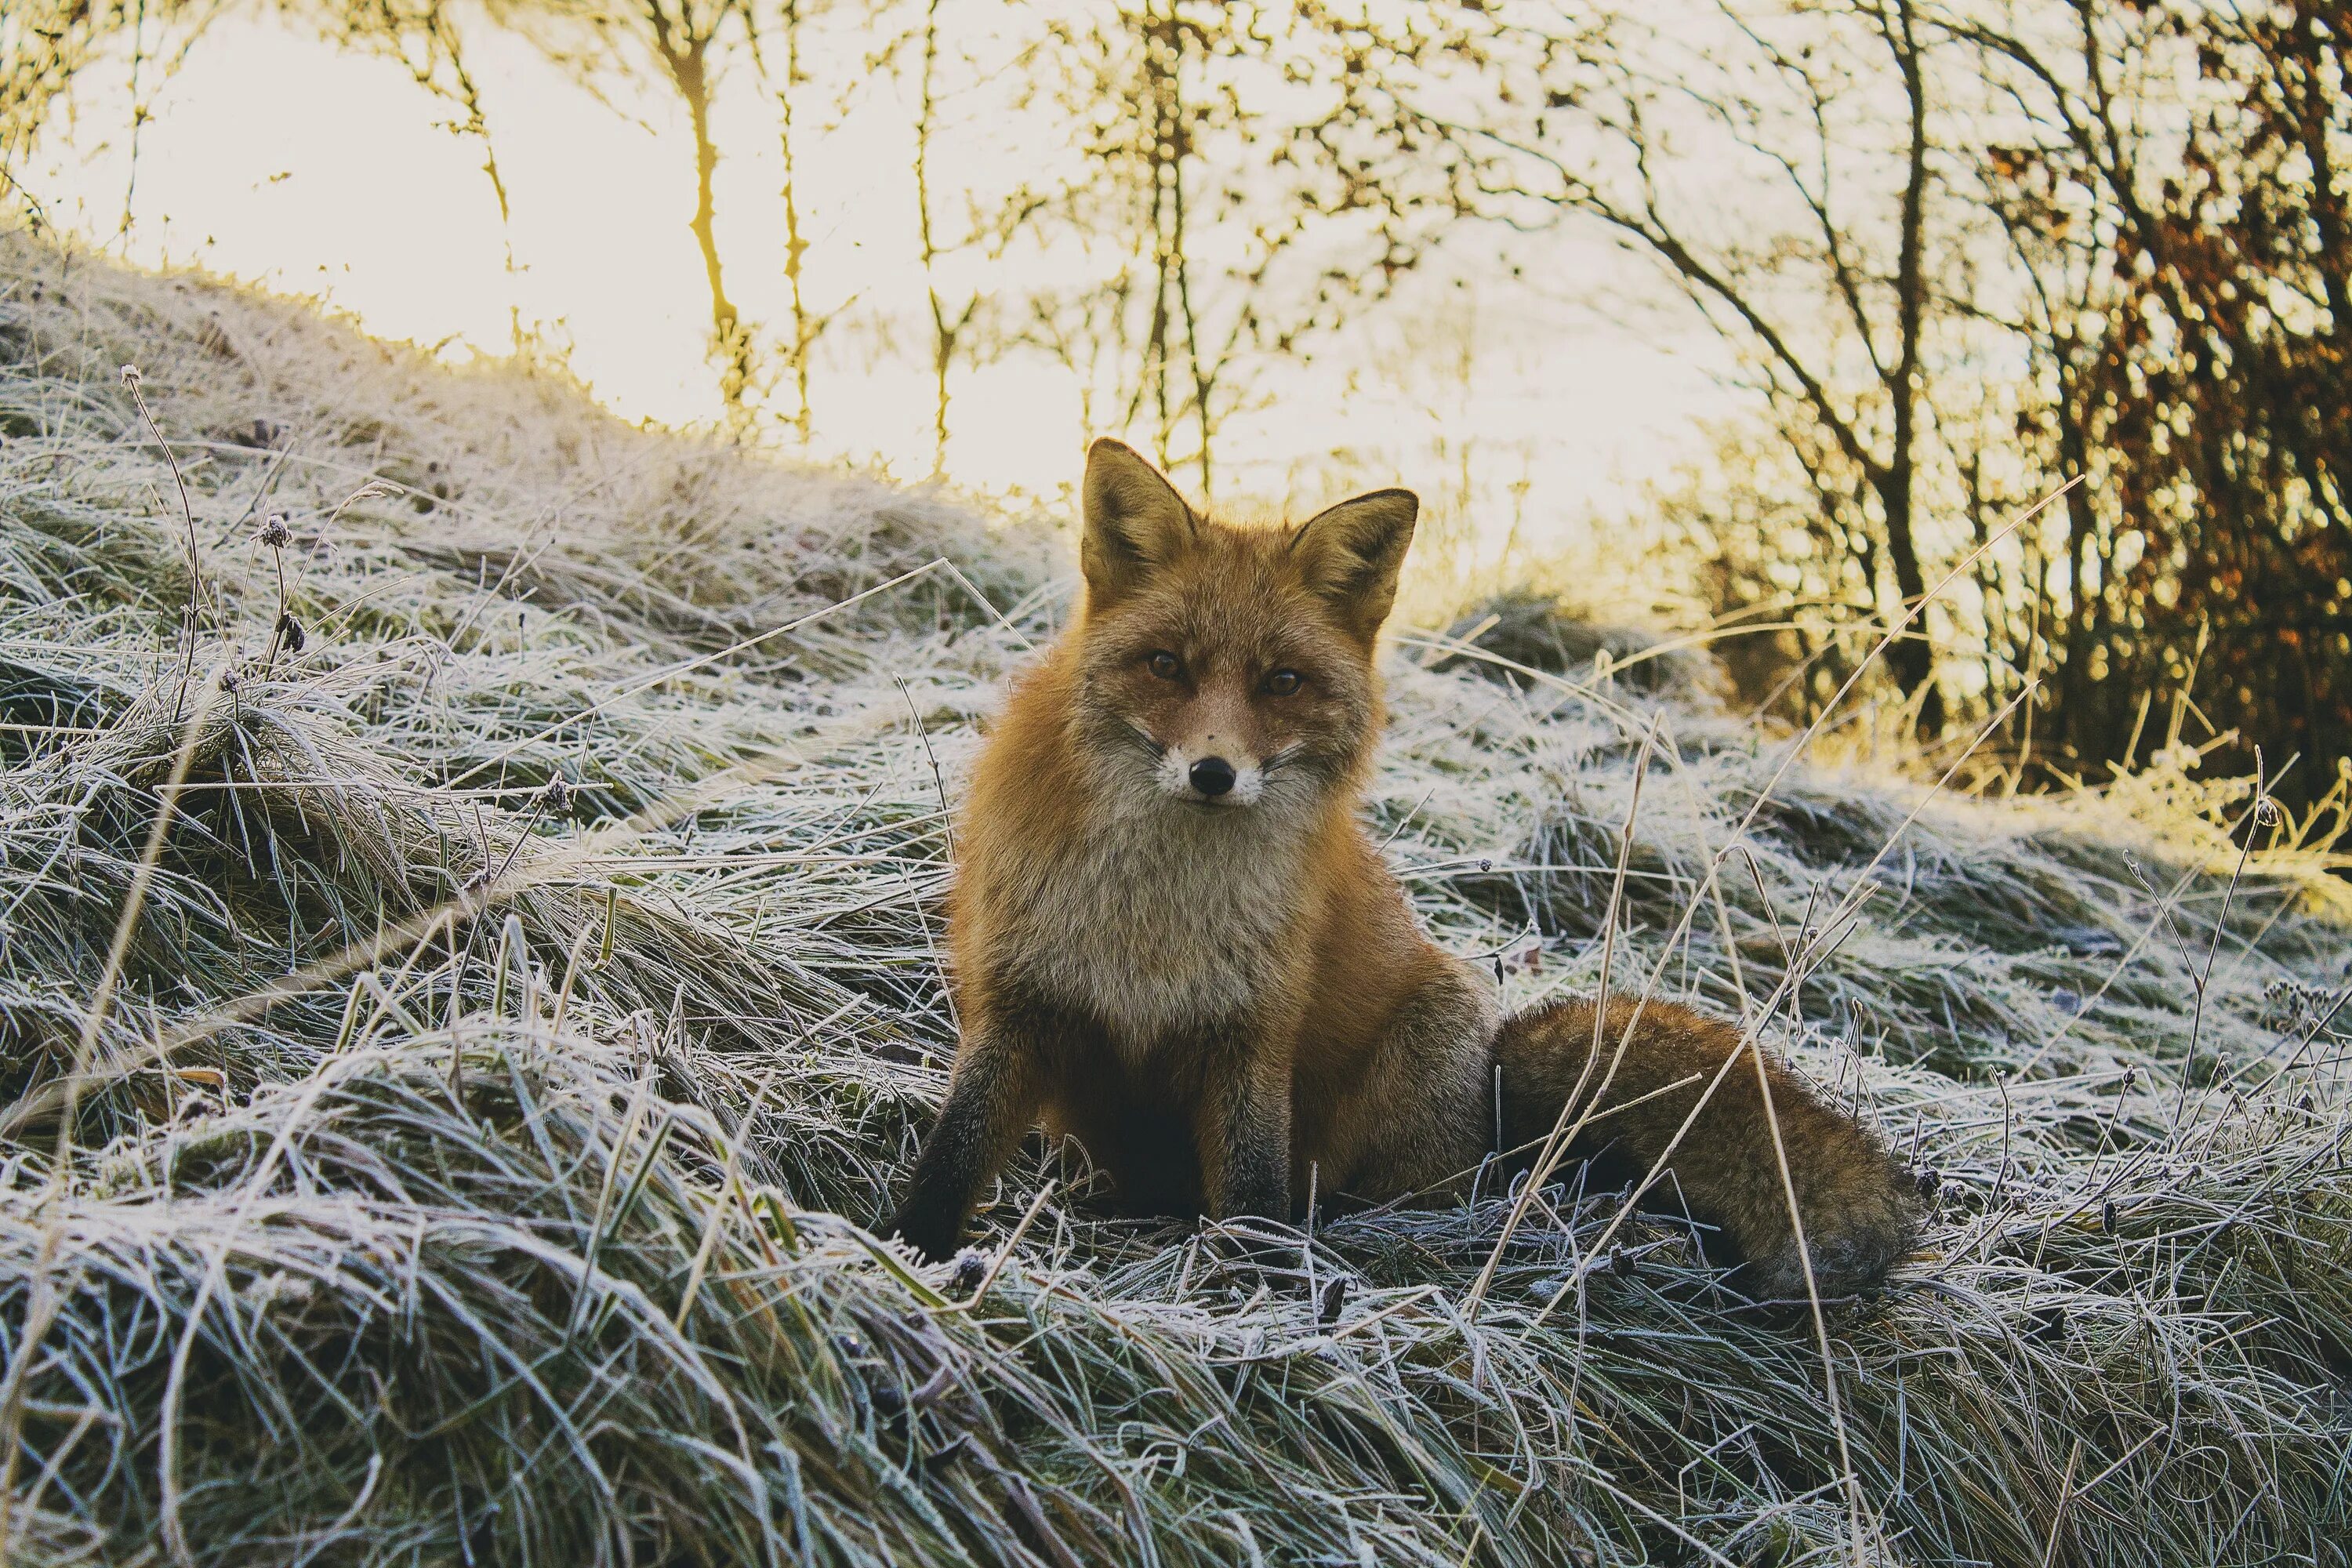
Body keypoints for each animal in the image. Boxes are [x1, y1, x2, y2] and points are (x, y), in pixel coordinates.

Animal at [889, 439, 1919, 1298]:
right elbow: (953, 1151)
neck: (1157, 911)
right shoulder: (1021, 1001)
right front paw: (906, 1257)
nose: (1214, 773)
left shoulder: (1252, 1033)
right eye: (1166, 665)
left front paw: (1262, 1291)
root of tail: (1492, 1111)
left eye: (1283, 681)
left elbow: (1254, 1193)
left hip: (1423, 1050)